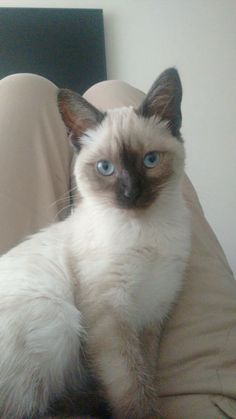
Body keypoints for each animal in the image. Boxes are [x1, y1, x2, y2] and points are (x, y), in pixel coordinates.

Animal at [0, 67, 190, 418]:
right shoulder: (110, 318)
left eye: (150, 161)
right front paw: (143, 412)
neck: (146, 228)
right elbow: (131, 386)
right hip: (59, 317)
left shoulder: (151, 315)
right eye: (105, 168)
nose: (131, 193)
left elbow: (146, 372)